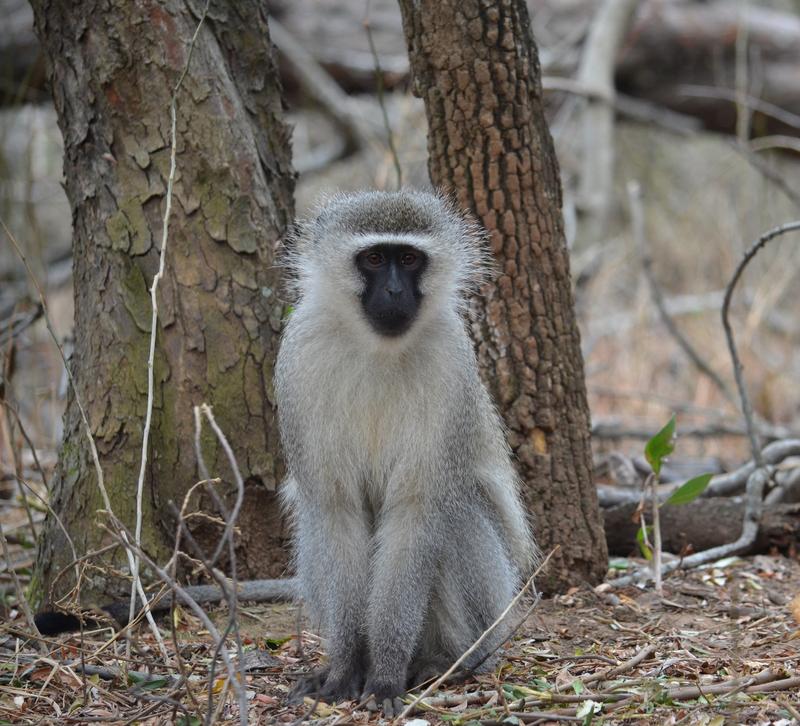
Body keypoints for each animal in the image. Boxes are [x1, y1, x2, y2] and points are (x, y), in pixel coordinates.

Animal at [276, 189, 536, 716]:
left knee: (457, 510)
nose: (395, 293)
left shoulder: (450, 365)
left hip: (493, 617)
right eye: (375, 259)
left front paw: (385, 675)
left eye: (411, 260)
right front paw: (346, 668)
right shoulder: (301, 360)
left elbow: (414, 515)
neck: (379, 348)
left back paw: (443, 661)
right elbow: (336, 511)